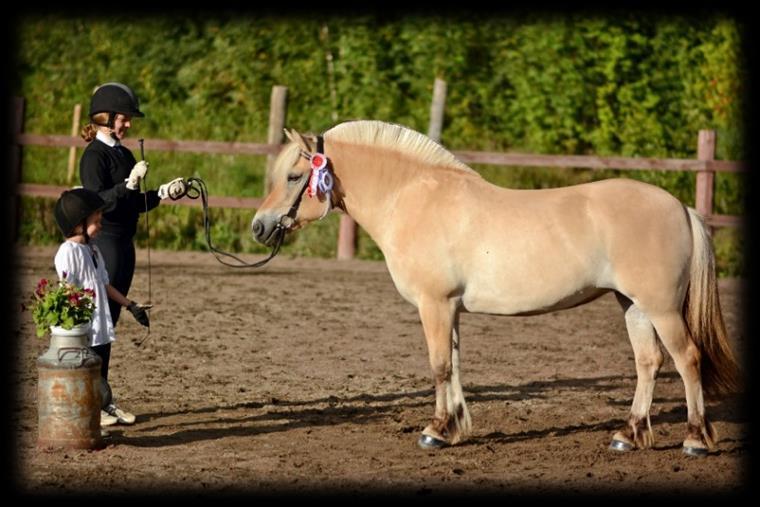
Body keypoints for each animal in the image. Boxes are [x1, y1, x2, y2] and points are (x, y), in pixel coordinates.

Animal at [252, 120, 740, 456]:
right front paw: (452, 429)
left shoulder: (433, 305)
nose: (259, 227)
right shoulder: (449, 309)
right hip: (633, 305)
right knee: (648, 362)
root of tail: (680, 207)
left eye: (294, 177)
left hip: (661, 308)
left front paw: (434, 431)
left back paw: (695, 440)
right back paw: (628, 434)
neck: (412, 198)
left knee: (687, 359)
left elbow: (439, 367)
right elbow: (454, 365)